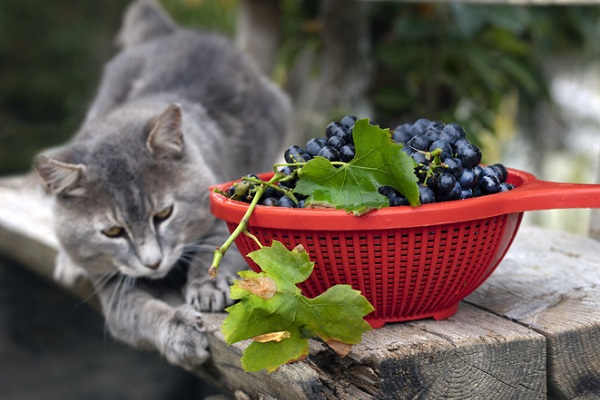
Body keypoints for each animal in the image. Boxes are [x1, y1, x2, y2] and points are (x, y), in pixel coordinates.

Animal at [33, 0, 290, 368]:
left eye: (165, 214)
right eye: (112, 232)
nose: (152, 263)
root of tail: (174, 33)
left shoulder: (223, 210)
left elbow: (220, 246)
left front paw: (207, 287)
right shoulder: (112, 288)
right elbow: (139, 313)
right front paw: (179, 330)